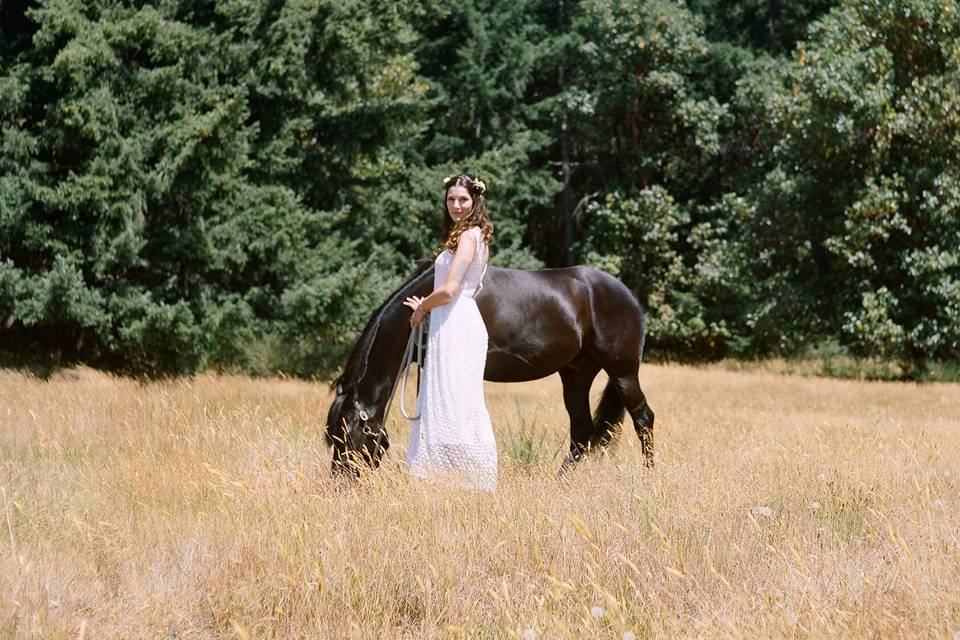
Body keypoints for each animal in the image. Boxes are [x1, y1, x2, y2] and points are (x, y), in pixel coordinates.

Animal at [326, 260, 656, 476]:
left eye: (347, 437)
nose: (340, 482)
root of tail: (629, 295)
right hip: (576, 375)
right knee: (582, 432)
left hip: (622, 372)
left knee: (643, 419)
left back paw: (648, 476)